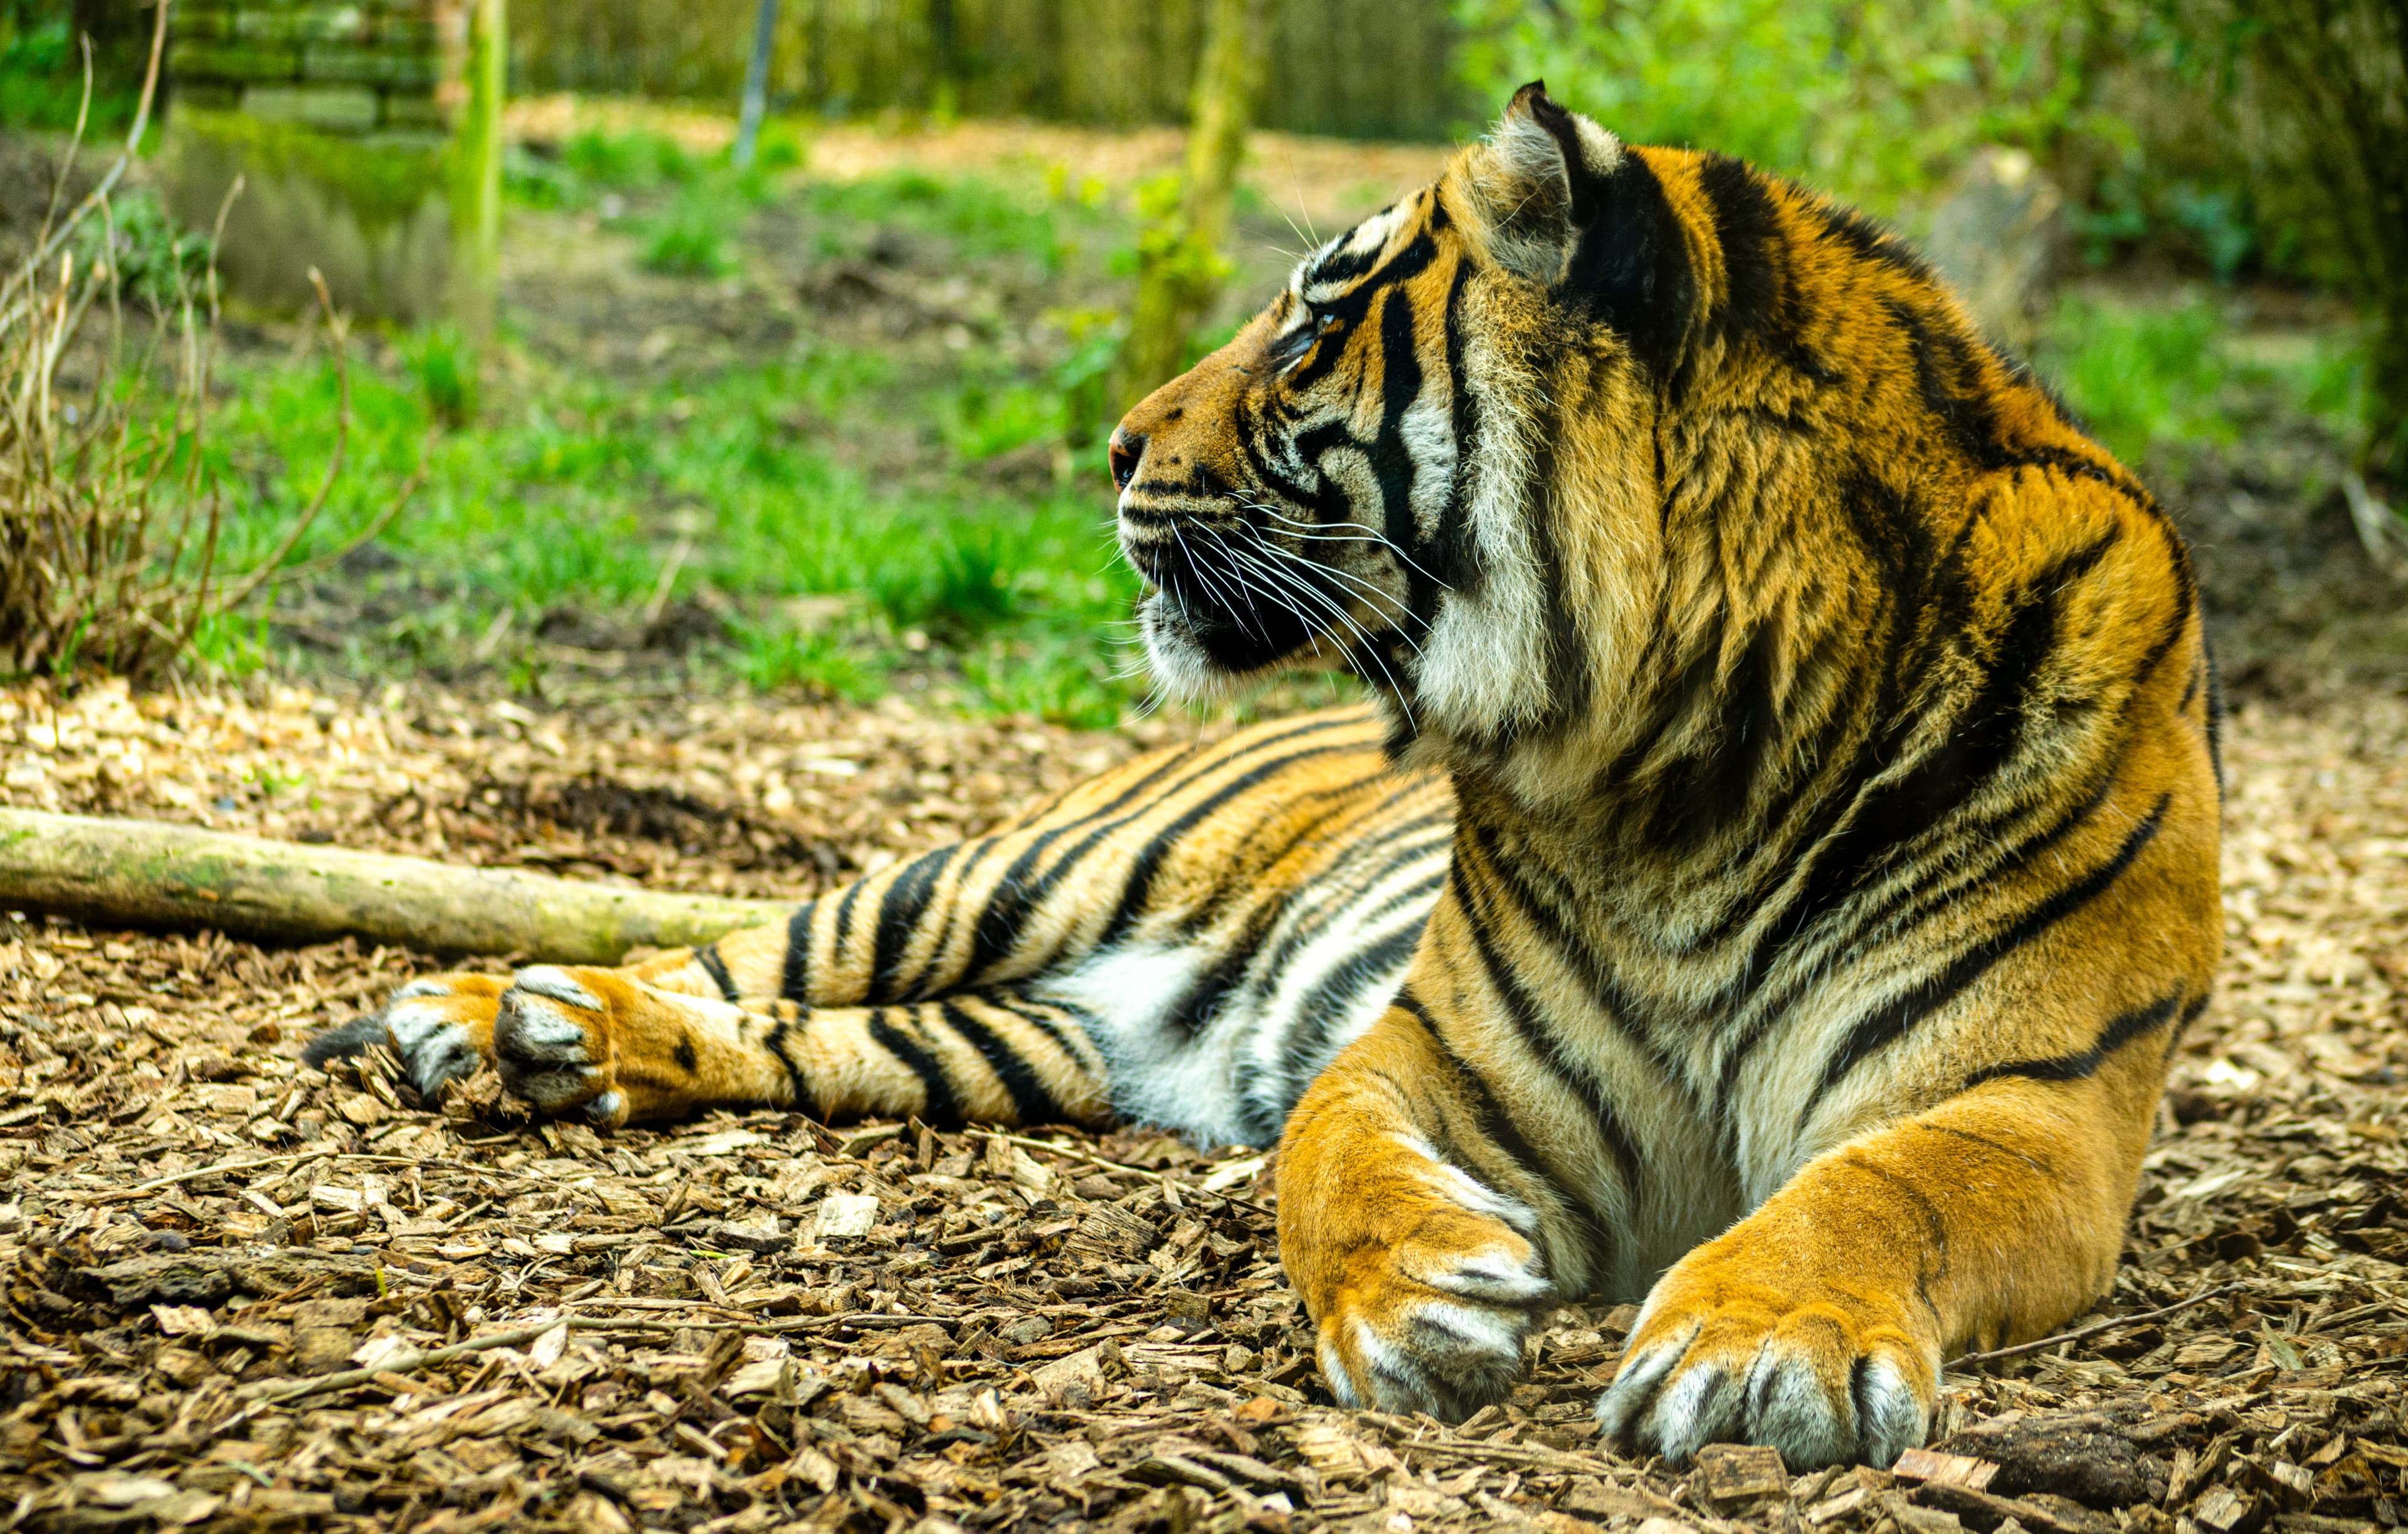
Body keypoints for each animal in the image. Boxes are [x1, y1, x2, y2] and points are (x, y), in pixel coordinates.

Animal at [307, 83, 2224, 1469]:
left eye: (1309, 337)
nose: (1108, 445)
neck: (1695, 764)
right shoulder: (1427, 1051)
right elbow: (1328, 1158)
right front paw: (1419, 1300)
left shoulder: (2033, 1101)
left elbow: (1878, 1184)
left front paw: (1761, 1348)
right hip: (989, 877)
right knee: (734, 954)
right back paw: (489, 1014)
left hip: (1018, 1041)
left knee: (807, 1038)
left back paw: (558, 1046)